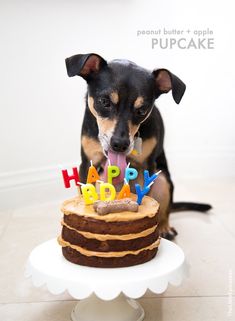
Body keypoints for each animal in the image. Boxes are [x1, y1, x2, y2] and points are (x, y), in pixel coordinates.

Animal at [64, 52, 211, 239]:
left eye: (142, 110)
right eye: (104, 102)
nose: (119, 144)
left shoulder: (146, 167)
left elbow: (148, 200)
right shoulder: (87, 164)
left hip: (163, 180)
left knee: (165, 211)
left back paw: (164, 228)